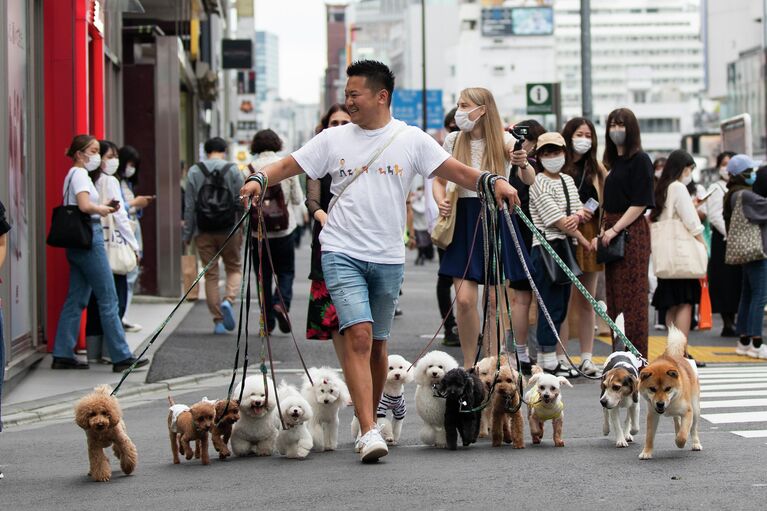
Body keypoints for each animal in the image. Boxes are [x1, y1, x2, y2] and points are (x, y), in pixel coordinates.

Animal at [636, 326, 704, 462]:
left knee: (693, 429)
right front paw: (646, 452)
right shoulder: (652, 415)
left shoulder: (688, 412)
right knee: (676, 420)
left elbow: (683, 435)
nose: (660, 404)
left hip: (695, 409)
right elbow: (649, 436)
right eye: (652, 389)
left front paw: (680, 442)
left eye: (668, 388)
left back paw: (695, 443)